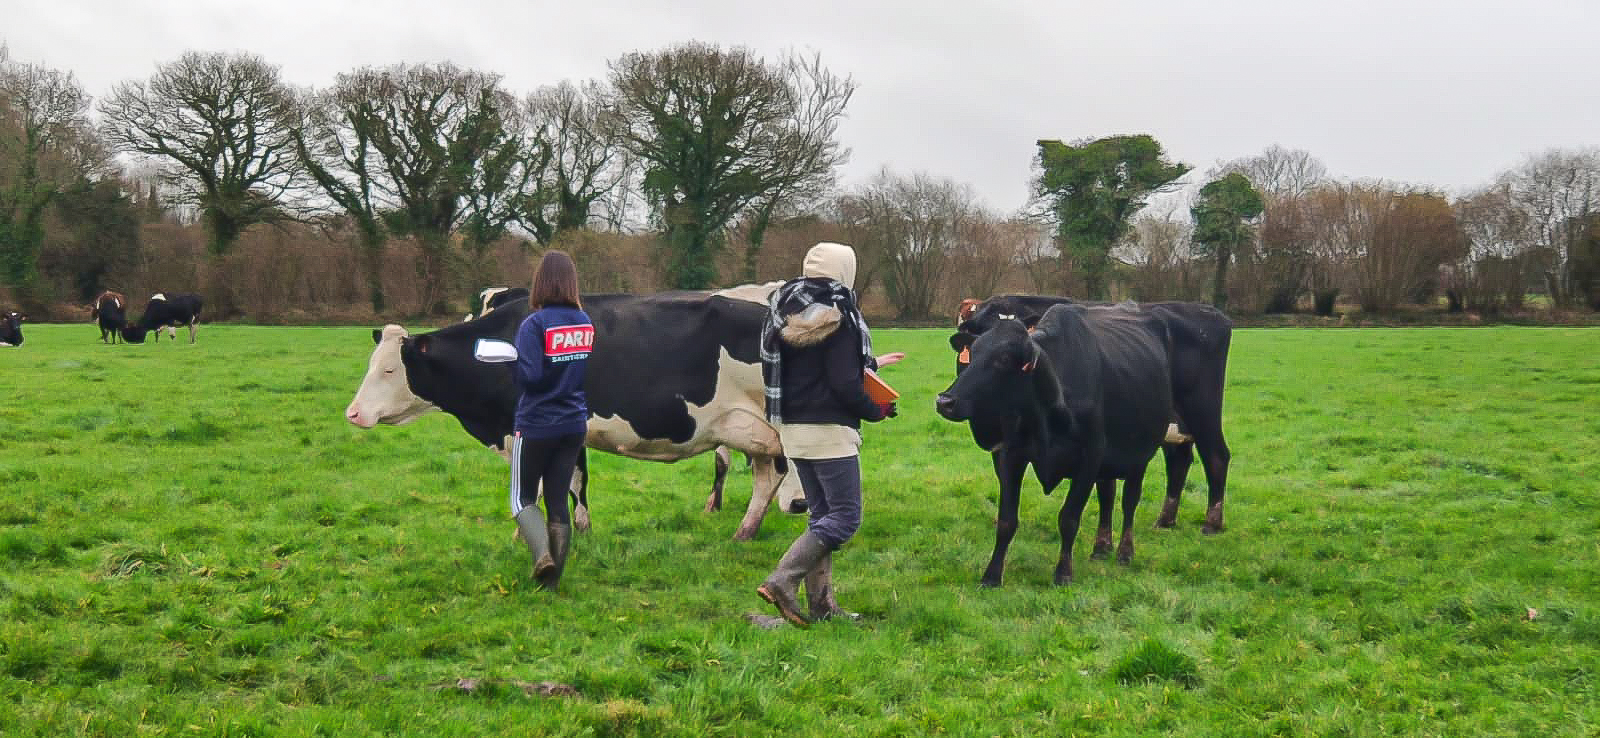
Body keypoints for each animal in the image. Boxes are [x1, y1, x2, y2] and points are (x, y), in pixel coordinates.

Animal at [345, 289, 806, 541]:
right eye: (371, 364)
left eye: (389, 370)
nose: (352, 413)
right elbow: (575, 482)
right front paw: (580, 528)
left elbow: (540, 484)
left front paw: (527, 532)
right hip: (751, 432)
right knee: (767, 477)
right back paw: (745, 531)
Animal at [934, 302, 1177, 582]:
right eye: (972, 353)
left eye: (1003, 359)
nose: (945, 401)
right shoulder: (1010, 456)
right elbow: (1006, 521)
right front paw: (992, 576)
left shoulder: (1090, 458)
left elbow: (1069, 519)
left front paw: (1063, 573)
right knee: (1107, 495)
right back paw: (1101, 548)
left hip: (1140, 454)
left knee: (1129, 501)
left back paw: (1125, 552)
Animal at [947, 296, 1235, 531]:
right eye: (977, 338)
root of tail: (1210, 312)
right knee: (1179, 460)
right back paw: (1165, 520)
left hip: (1203, 412)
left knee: (1217, 456)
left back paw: (1211, 523)